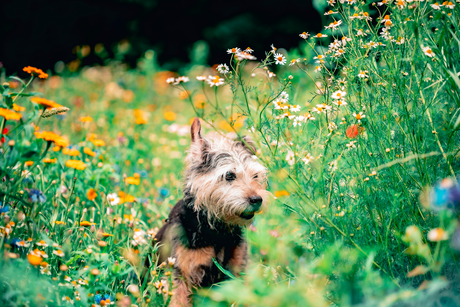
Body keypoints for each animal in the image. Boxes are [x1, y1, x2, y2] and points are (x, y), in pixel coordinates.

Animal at [147, 118, 268, 307]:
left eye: (255, 176)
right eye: (229, 175)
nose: (257, 199)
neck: (216, 231)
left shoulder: (237, 269)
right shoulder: (180, 274)